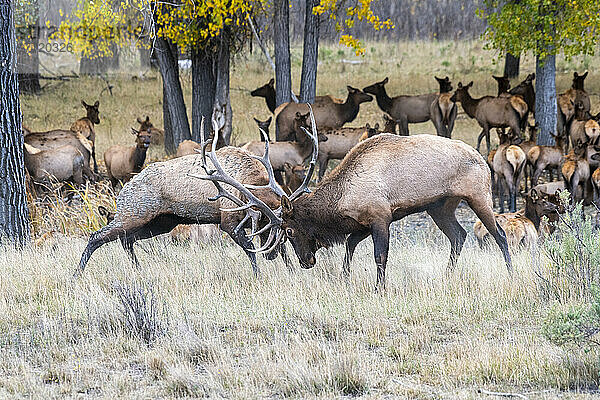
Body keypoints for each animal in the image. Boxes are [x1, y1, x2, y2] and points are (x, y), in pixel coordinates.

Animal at [75, 117, 300, 276]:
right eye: (264, 225)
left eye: (284, 232)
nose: (270, 255)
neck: (252, 183)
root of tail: (125, 189)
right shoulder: (227, 221)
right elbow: (250, 250)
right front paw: (258, 275)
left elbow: (280, 252)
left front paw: (291, 271)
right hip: (133, 213)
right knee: (97, 236)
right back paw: (77, 274)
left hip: (162, 221)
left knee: (127, 240)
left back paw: (137, 270)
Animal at [196, 110, 510, 290]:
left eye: (289, 230)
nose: (306, 262)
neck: (342, 199)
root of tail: (483, 159)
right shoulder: (360, 223)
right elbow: (348, 248)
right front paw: (345, 279)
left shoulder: (381, 216)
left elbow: (380, 256)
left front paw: (379, 289)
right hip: (440, 207)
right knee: (458, 235)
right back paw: (447, 276)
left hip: (478, 195)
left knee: (499, 234)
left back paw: (510, 272)